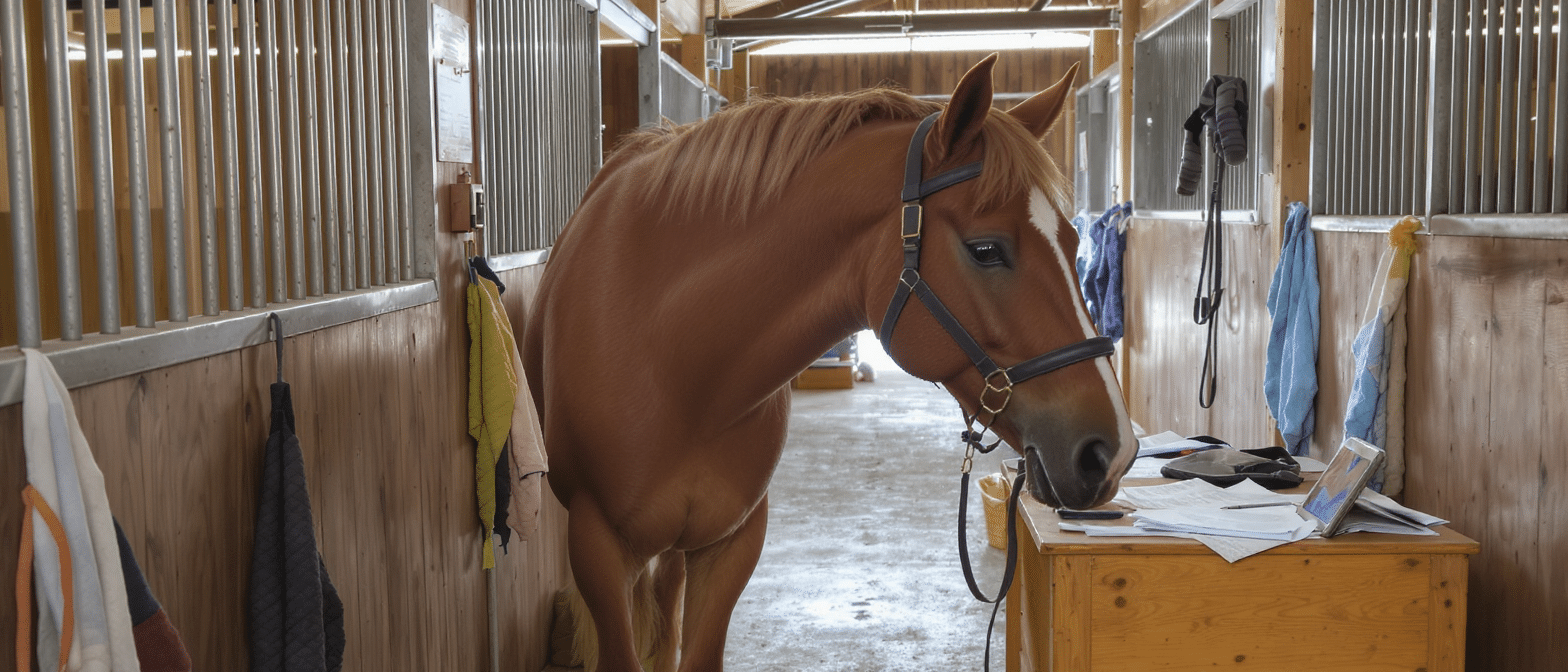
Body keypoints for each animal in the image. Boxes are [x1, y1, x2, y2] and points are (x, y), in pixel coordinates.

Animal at [521, 54, 1137, 672]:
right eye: (986, 250)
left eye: (1072, 240)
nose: (1112, 452)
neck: (677, 361)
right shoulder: (597, 547)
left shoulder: (731, 543)